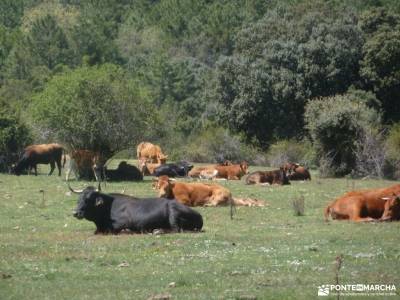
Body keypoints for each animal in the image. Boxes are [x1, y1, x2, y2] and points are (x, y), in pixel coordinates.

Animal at [68, 185, 203, 234]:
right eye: (79, 199)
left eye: (88, 199)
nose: (75, 213)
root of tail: (200, 216)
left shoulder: (123, 223)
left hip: (173, 213)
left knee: (176, 229)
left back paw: (158, 231)